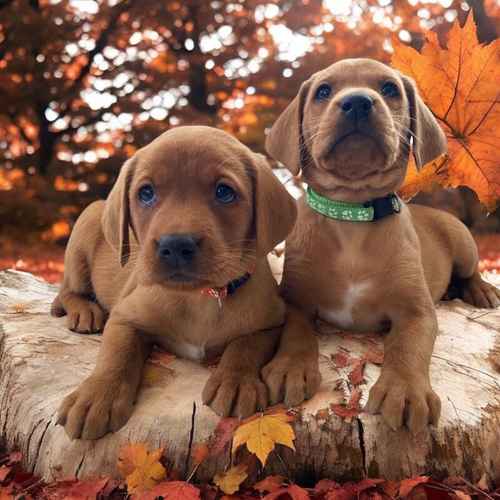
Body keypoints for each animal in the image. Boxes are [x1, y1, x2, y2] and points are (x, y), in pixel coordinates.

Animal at [264, 57, 498, 434]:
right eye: (323, 91)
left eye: (390, 88)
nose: (357, 101)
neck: (352, 216)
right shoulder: (295, 299)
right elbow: (295, 332)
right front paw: (290, 367)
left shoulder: (417, 311)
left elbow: (407, 346)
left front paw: (404, 391)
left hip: (463, 241)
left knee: (471, 270)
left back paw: (481, 290)